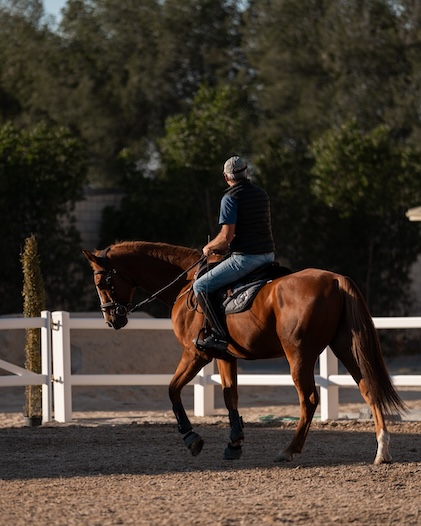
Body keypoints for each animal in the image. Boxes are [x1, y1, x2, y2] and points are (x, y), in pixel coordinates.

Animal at [83, 241, 404, 464]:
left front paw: (192, 438)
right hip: (346, 348)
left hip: (299, 355)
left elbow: (172, 390)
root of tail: (335, 279)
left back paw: (288, 450)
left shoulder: (195, 354)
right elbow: (230, 396)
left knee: (309, 399)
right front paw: (234, 444)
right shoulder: (225, 356)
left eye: (100, 281)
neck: (186, 284)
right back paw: (382, 450)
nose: (112, 319)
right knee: (368, 388)